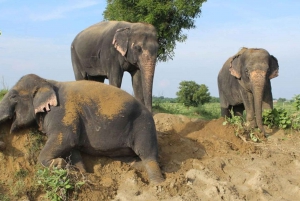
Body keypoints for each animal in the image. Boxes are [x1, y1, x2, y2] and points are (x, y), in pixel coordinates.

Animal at [0, 73, 164, 184]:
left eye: (13, 96)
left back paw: (158, 185)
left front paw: (58, 164)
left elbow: (66, 139)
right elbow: (72, 147)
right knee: (131, 159)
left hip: (144, 127)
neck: (46, 81)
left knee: (148, 155)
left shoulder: (62, 112)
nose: (4, 145)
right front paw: (81, 172)